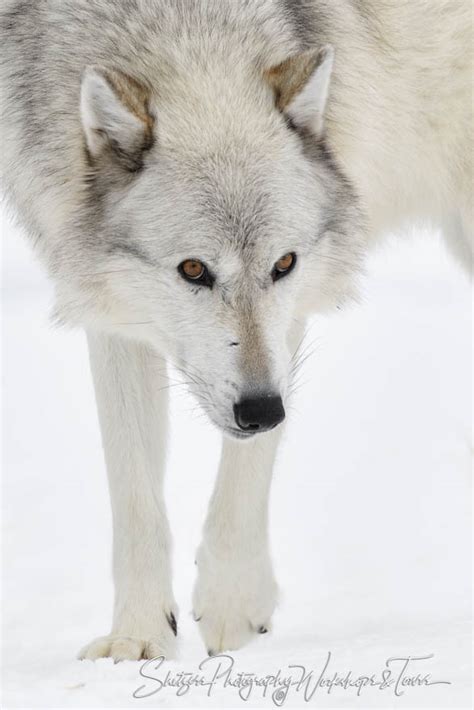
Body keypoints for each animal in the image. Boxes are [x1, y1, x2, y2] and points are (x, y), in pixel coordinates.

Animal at [1, 0, 471, 660]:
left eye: (284, 264)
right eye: (194, 269)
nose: (262, 410)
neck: (189, 34)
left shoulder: (287, 323)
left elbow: (248, 466)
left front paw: (233, 604)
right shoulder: (115, 308)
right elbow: (134, 495)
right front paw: (137, 639)